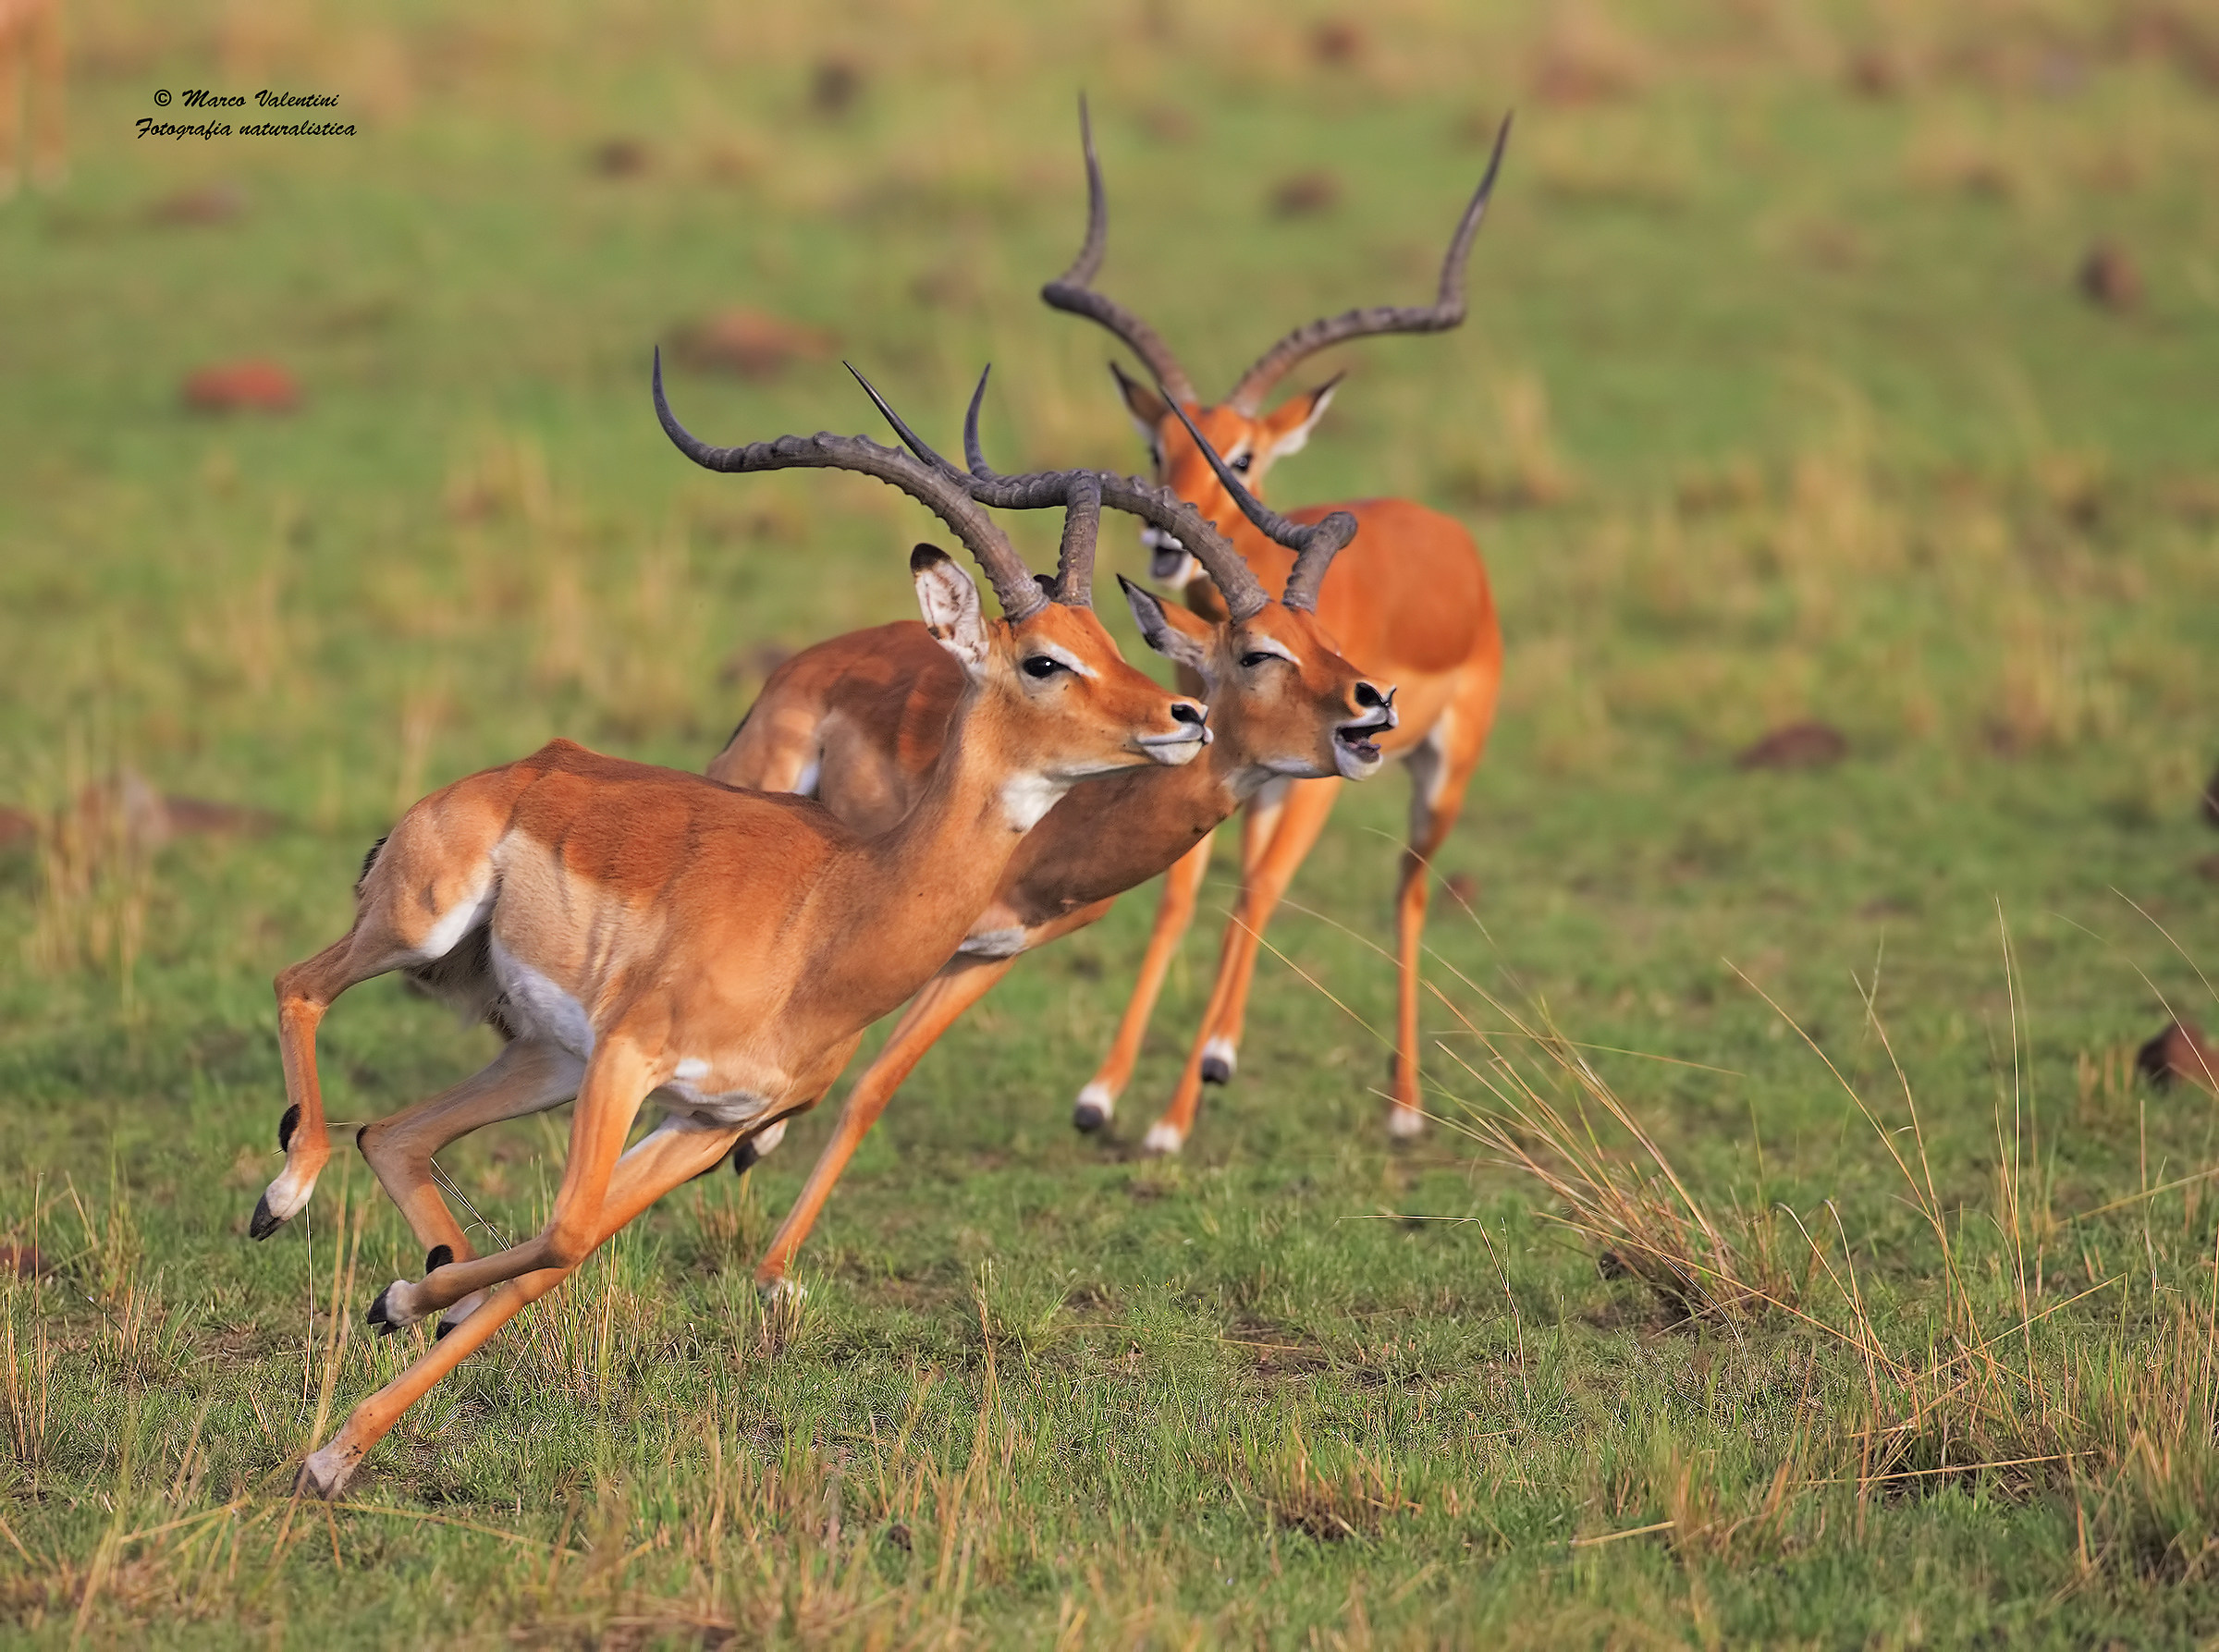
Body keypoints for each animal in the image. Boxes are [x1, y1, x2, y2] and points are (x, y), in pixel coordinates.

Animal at [260, 358, 1211, 1499]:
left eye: (1112, 640)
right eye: (1043, 662)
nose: (1185, 717)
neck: (834, 914)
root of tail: (516, 771)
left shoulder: (708, 1121)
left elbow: (563, 1252)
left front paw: (340, 1438)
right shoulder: (633, 1060)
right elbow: (565, 1231)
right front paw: (392, 1311)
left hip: (545, 1060)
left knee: (397, 1132)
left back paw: (405, 1280)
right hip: (423, 931)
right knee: (298, 984)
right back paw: (282, 1195)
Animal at [707, 372, 1395, 1294]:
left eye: (1328, 639)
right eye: (1257, 652)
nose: (1374, 704)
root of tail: (799, 666)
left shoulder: (986, 958)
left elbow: (872, 1087)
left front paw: (773, 1250)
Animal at [1041, 105, 1511, 1151]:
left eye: (1244, 455)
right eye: (1156, 446)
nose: (1162, 539)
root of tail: (1454, 539)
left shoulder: (1320, 779)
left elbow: (1253, 896)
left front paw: (1177, 1108)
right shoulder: (1220, 751)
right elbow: (1183, 890)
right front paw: (1101, 1094)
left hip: (1439, 775)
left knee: (1405, 890)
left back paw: (1401, 1105)